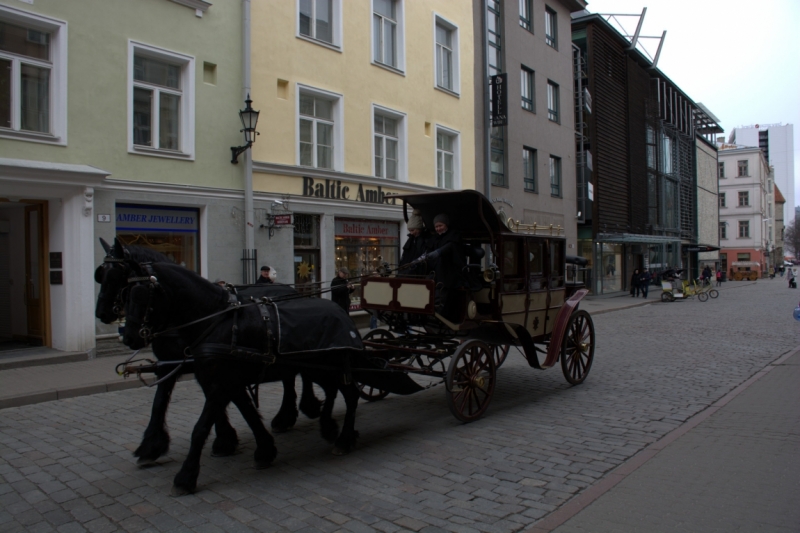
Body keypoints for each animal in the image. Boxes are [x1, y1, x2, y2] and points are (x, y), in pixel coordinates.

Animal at [98, 239, 324, 464]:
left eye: (117, 276)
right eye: (100, 274)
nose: (101, 313)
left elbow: (221, 399)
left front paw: (225, 439)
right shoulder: (170, 365)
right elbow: (160, 402)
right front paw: (151, 445)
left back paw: (299, 409)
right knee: (292, 376)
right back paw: (289, 415)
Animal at [119, 260, 372, 492]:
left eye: (142, 296)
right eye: (126, 295)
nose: (129, 337)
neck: (216, 321)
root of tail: (342, 313)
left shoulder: (220, 383)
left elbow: (200, 428)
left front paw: (186, 476)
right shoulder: (219, 380)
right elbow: (246, 412)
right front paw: (261, 449)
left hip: (329, 367)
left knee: (349, 395)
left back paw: (342, 438)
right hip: (319, 369)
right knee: (334, 391)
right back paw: (328, 427)